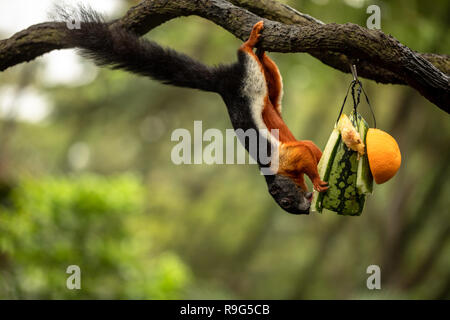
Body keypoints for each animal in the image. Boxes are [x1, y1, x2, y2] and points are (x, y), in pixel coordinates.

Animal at [62, 10, 326, 214]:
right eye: (286, 203)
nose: (305, 210)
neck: (274, 173)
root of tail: (221, 82)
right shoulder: (293, 154)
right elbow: (309, 148)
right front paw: (322, 171)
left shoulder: (286, 158)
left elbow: (306, 153)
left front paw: (317, 179)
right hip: (266, 88)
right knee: (268, 75)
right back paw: (259, 47)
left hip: (249, 79)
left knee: (246, 54)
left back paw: (251, 42)